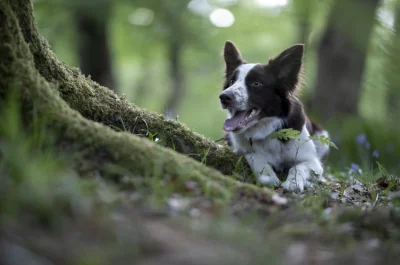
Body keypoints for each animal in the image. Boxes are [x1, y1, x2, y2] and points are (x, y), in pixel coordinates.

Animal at [220, 40, 330, 191]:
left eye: (256, 83)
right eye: (231, 81)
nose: (224, 97)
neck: (266, 129)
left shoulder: (312, 161)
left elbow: (298, 168)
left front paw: (294, 183)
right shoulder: (242, 150)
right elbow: (256, 157)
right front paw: (269, 177)